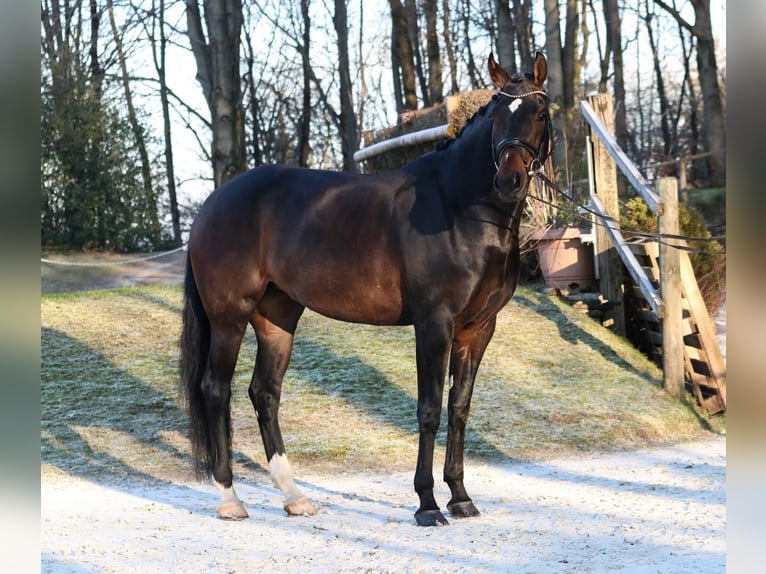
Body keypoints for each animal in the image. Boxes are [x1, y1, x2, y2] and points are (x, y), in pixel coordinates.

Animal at [180, 51, 552, 528]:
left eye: (539, 113)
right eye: (498, 116)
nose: (509, 181)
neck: (459, 207)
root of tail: (213, 202)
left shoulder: (478, 330)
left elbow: (459, 409)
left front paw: (461, 497)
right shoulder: (434, 324)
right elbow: (429, 410)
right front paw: (428, 504)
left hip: (277, 317)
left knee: (264, 393)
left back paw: (294, 496)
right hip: (229, 317)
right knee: (215, 390)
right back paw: (230, 499)